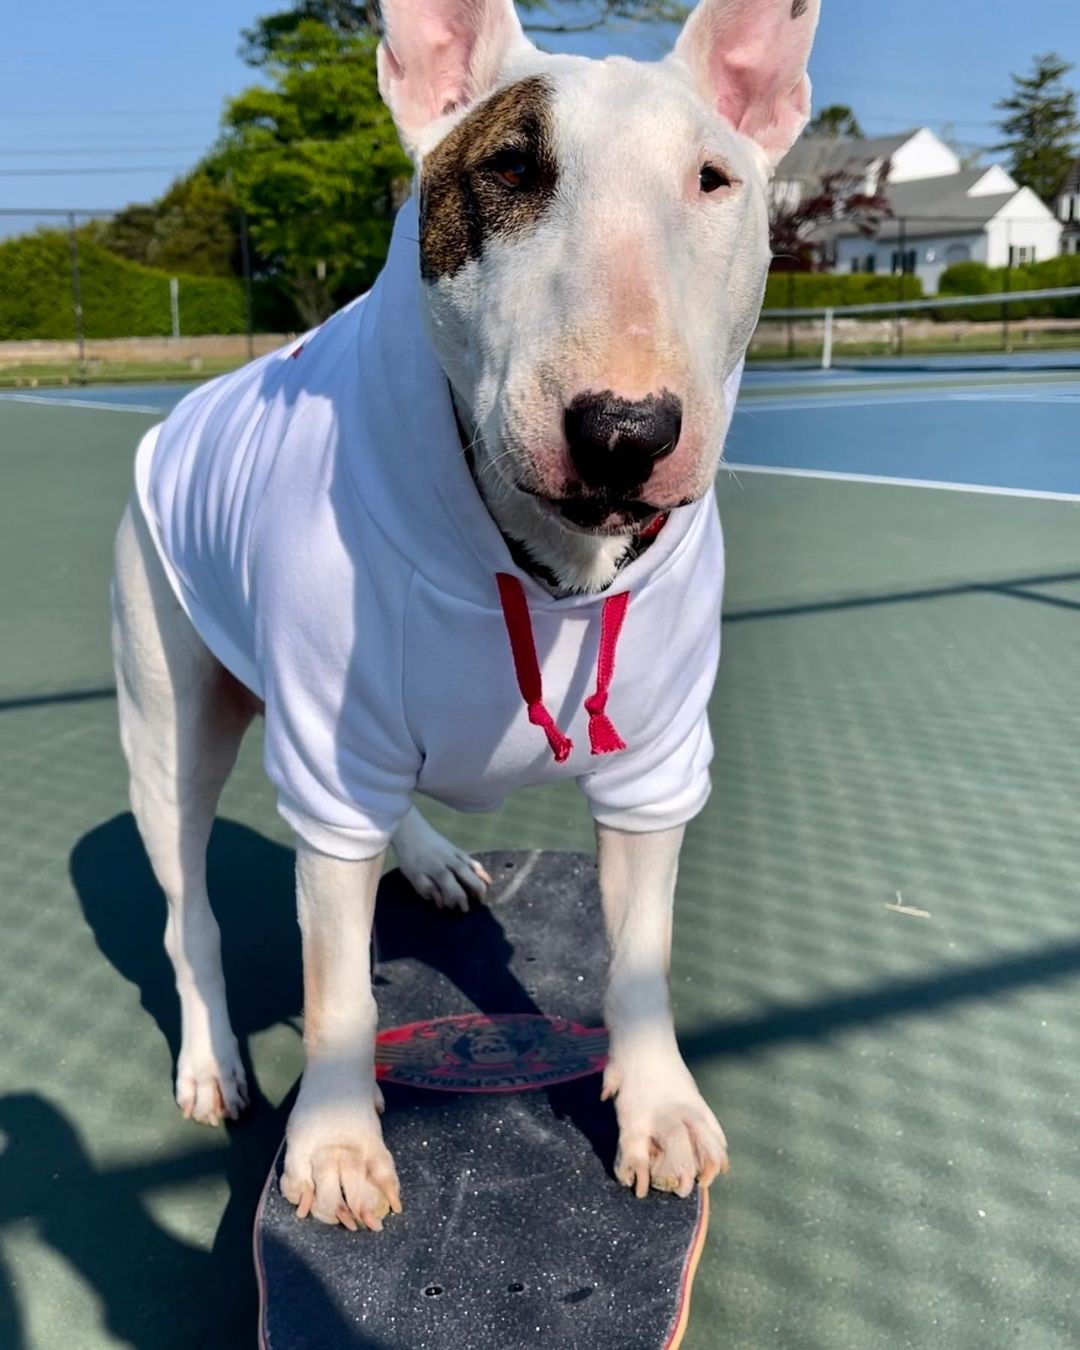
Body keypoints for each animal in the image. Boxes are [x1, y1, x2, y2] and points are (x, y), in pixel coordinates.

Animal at [109, 0, 820, 1231]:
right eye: (510, 168)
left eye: (714, 179)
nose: (625, 431)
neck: (547, 570)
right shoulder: (327, 758)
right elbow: (337, 989)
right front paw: (335, 1147)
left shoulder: (657, 766)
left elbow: (641, 954)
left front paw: (659, 1107)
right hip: (169, 721)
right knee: (186, 907)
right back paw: (209, 1058)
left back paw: (431, 859)